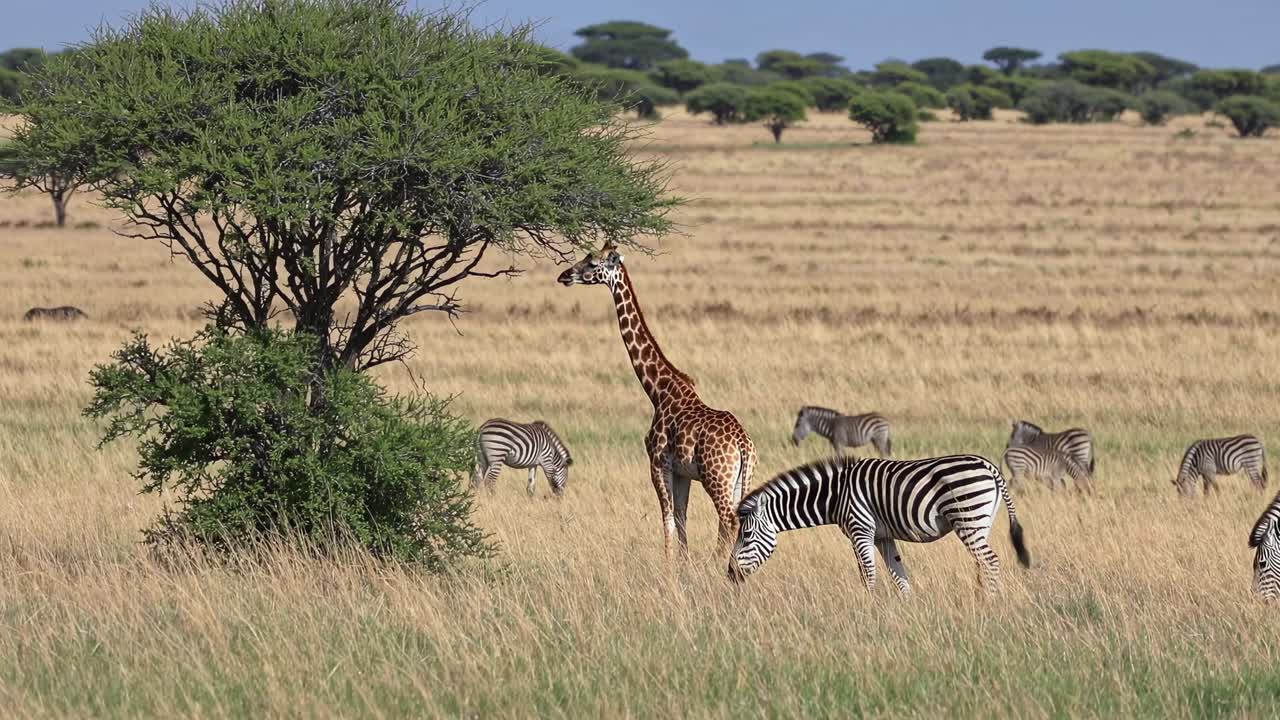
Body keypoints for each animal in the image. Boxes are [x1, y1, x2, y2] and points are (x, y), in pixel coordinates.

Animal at [558, 241, 757, 560]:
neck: (658, 390)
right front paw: (684, 563)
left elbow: (667, 520)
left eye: (592, 264)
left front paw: (670, 566)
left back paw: (720, 564)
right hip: (741, 478)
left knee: (728, 520)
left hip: (717, 478)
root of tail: (744, 444)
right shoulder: (682, 472)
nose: (564, 275)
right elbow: (681, 517)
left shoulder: (657, 463)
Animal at [727, 454, 1030, 594]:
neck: (836, 494)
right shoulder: (883, 536)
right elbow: (898, 574)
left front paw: (868, 610)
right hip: (980, 522)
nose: (730, 574)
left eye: (747, 534)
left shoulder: (860, 529)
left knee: (990, 560)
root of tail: (989, 466)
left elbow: (868, 573)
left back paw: (988, 602)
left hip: (967, 518)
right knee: (983, 562)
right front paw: (906, 609)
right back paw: (980, 597)